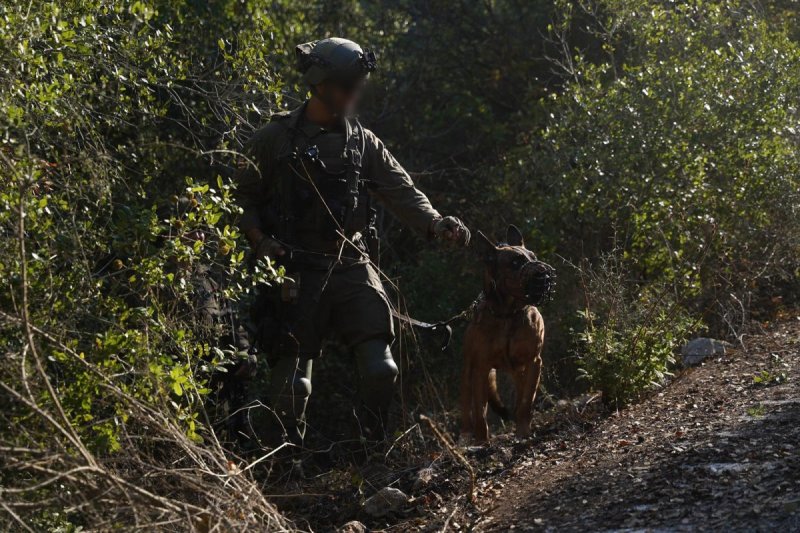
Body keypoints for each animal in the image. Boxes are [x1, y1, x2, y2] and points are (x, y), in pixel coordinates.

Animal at [462, 224, 552, 440]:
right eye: (515, 262)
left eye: (533, 256)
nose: (544, 275)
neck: (507, 315)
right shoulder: (480, 368)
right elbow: (480, 412)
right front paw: (482, 440)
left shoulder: (533, 361)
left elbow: (526, 401)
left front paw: (523, 431)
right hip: (468, 372)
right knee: (467, 407)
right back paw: (466, 436)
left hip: (518, 370)